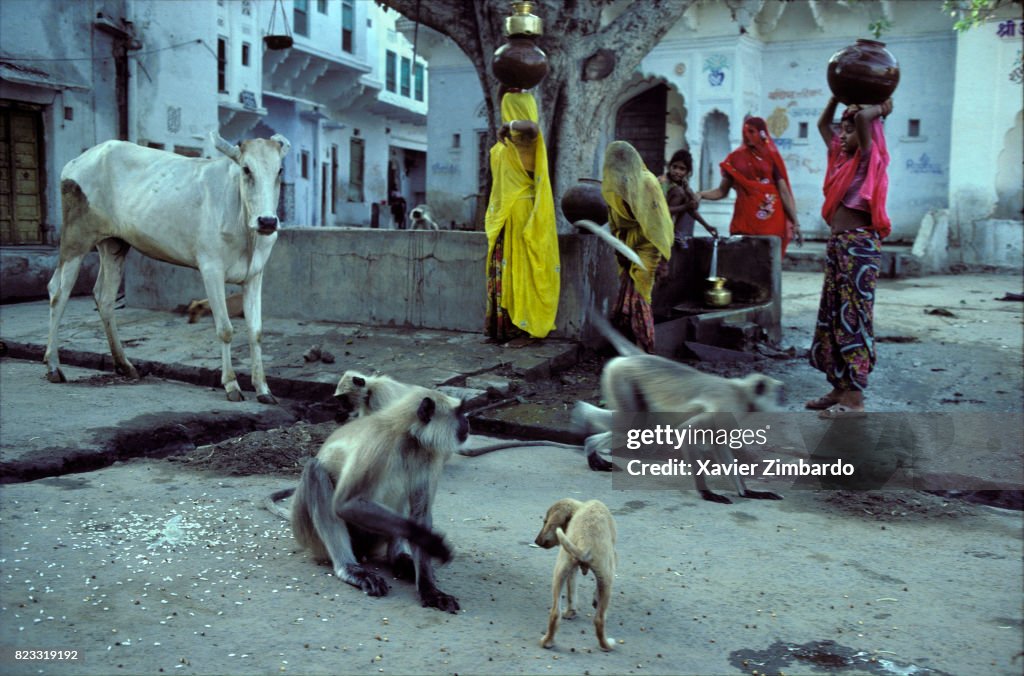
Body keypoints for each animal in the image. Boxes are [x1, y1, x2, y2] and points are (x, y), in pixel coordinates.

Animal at [45, 134, 290, 403]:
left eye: (279, 170)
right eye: (246, 169)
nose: (267, 221)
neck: (245, 226)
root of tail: (81, 159)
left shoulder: (254, 275)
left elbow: (256, 332)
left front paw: (263, 389)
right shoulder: (211, 268)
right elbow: (225, 329)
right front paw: (231, 385)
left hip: (114, 243)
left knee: (104, 296)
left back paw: (125, 365)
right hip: (76, 238)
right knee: (58, 291)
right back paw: (54, 366)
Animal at [286, 385, 466, 614]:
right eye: (459, 413)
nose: (467, 423)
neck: (409, 437)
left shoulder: (429, 454)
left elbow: (420, 515)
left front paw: (430, 589)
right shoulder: (380, 442)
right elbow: (345, 503)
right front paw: (432, 543)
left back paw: (398, 559)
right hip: (310, 535)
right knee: (314, 469)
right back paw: (350, 568)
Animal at [536, 495, 614, 651]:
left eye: (545, 521)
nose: (536, 541)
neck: (580, 507)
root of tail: (585, 544)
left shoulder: (571, 570)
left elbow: (571, 592)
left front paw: (571, 612)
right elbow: (596, 592)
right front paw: (595, 599)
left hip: (560, 570)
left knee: (555, 613)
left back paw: (547, 642)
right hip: (607, 578)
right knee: (599, 619)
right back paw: (607, 645)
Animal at [569, 315, 782, 501]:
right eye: (776, 396)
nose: (780, 404)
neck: (741, 392)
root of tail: (637, 358)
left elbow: (718, 443)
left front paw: (747, 492)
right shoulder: (726, 406)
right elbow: (687, 431)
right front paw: (706, 493)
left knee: (636, 427)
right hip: (620, 377)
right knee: (631, 427)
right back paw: (584, 424)